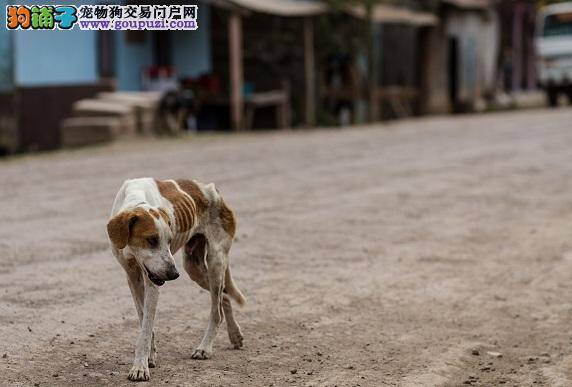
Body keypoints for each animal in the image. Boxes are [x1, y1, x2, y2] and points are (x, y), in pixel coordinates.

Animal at [107, 178, 246, 382]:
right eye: (151, 240)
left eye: (169, 240)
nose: (174, 274)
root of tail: (214, 191)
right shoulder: (133, 277)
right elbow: (144, 322)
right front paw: (150, 357)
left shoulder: (152, 282)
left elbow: (146, 327)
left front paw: (140, 367)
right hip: (194, 269)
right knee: (224, 298)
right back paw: (235, 335)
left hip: (215, 261)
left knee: (216, 310)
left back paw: (204, 348)